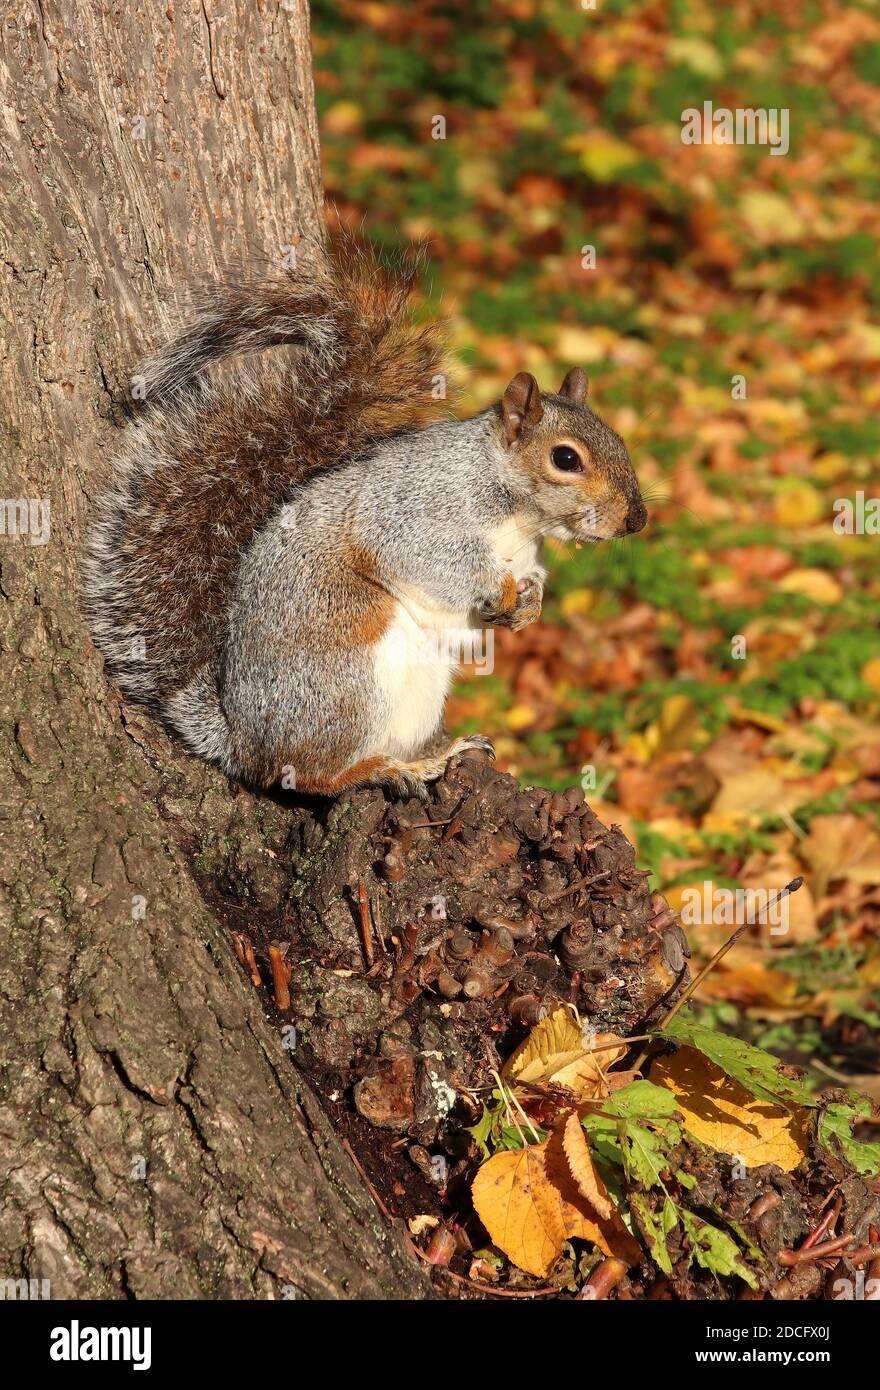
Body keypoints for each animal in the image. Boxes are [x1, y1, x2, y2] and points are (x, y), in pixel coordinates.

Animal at [82, 230, 645, 795]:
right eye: (565, 459)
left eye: (619, 440)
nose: (635, 520)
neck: (520, 518)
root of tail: (243, 741)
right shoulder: (414, 512)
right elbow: (437, 559)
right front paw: (501, 590)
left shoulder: (527, 553)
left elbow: (532, 580)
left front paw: (530, 606)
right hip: (349, 663)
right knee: (308, 773)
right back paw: (388, 770)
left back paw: (435, 755)